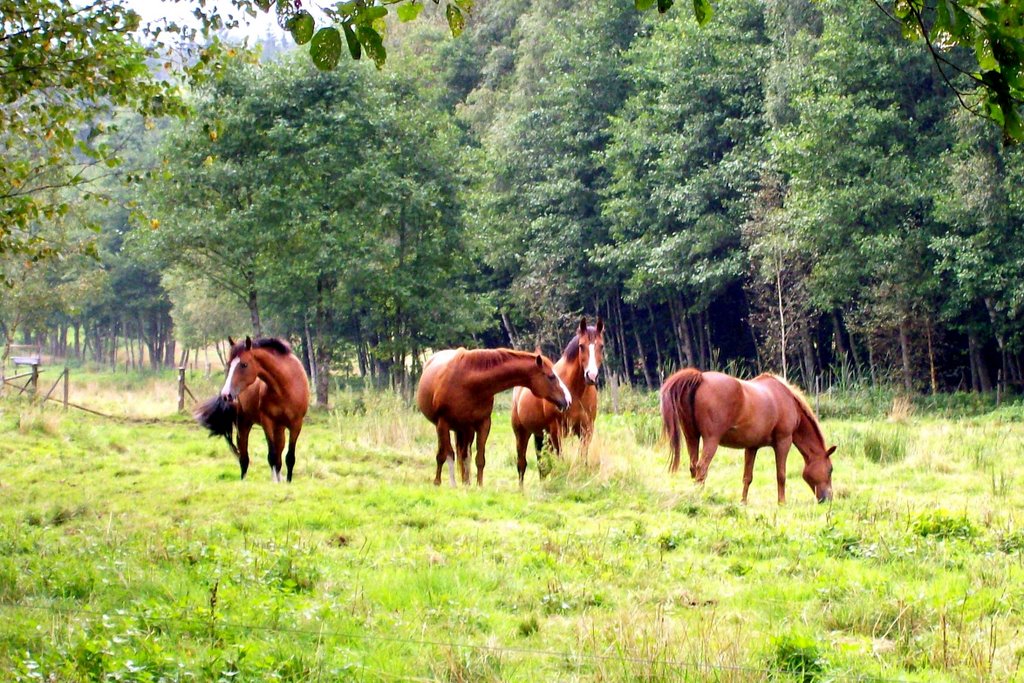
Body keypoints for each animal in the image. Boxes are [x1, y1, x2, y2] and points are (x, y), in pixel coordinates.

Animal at [194, 335, 307, 481]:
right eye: (229, 364)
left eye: (244, 364)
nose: (226, 394)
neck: (286, 386)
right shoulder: (267, 422)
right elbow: (272, 457)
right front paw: (275, 483)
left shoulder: (296, 425)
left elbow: (289, 458)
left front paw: (287, 482)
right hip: (244, 424)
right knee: (244, 457)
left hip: (279, 427)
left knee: (278, 455)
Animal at [417, 350, 577, 489]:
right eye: (551, 376)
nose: (568, 400)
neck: (467, 382)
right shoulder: (443, 422)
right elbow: (447, 454)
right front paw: (449, 483)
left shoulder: (483, 424)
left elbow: (479, 459)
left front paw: (479, 486)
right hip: (445, 427)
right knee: (445, 453)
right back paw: (443, 481)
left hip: (466, 430)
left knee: (464, 455)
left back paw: (466, 482)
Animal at [509, 317, 602, 489]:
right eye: (581, 346)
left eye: (601, 346)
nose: (591, 376)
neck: (576, 392)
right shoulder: (556, 431)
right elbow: (560, 459)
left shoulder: (586, 430)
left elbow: (582, 459)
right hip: (521, 433)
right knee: (522, 463)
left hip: (540, 435)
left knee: (541, 462)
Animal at [659, 370, 835, 505]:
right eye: (830, 469)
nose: (828, 499)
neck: (786, 399)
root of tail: (700, 377)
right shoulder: (783, 441)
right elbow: (781, 475)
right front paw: (782, 503)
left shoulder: (752, 447)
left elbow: (747, 477)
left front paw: (743, 502)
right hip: (711, 440)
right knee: (701, 468)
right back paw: (700, 497)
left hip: (692, 437)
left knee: (693, 467)